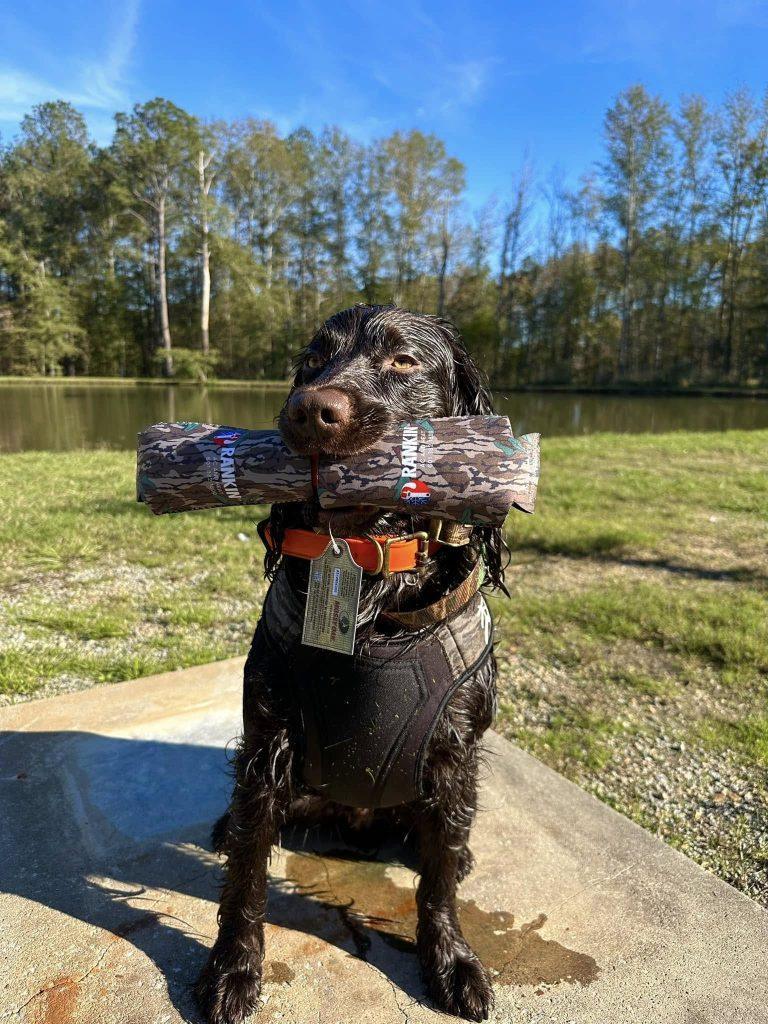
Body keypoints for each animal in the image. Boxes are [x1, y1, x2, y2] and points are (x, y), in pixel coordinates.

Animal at [198, 303, 507, 1024]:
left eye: (403, 361)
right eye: (313, 359)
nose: (313, 410)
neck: (371, 572)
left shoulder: (454, 757)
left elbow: (438, 886)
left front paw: (450, 960)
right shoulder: (268, 744)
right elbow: (247, 874)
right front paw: (233, 969)